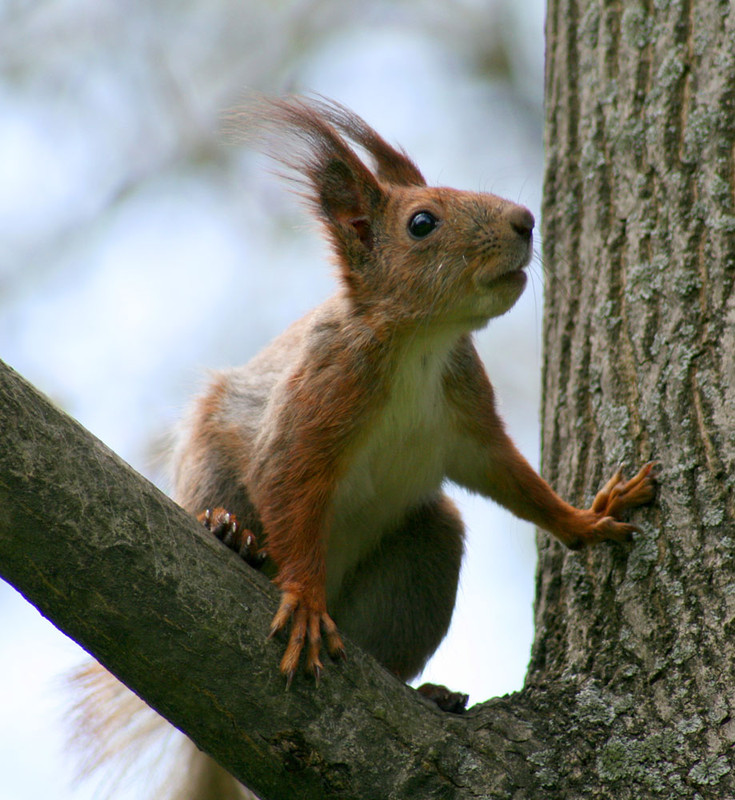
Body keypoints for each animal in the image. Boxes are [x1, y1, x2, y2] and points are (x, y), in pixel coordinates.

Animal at [69, 95, 656, 800]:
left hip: (423, 555)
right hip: (210, 458)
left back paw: (426, 693)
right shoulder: (317, 400)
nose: (524, 220)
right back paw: (229, 534)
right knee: (228, 502)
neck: (422, 345)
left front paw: (588, 520)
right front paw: (302, 597)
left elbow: (517, 483)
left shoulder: (470, 421)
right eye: (422, 222)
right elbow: (287, 481)